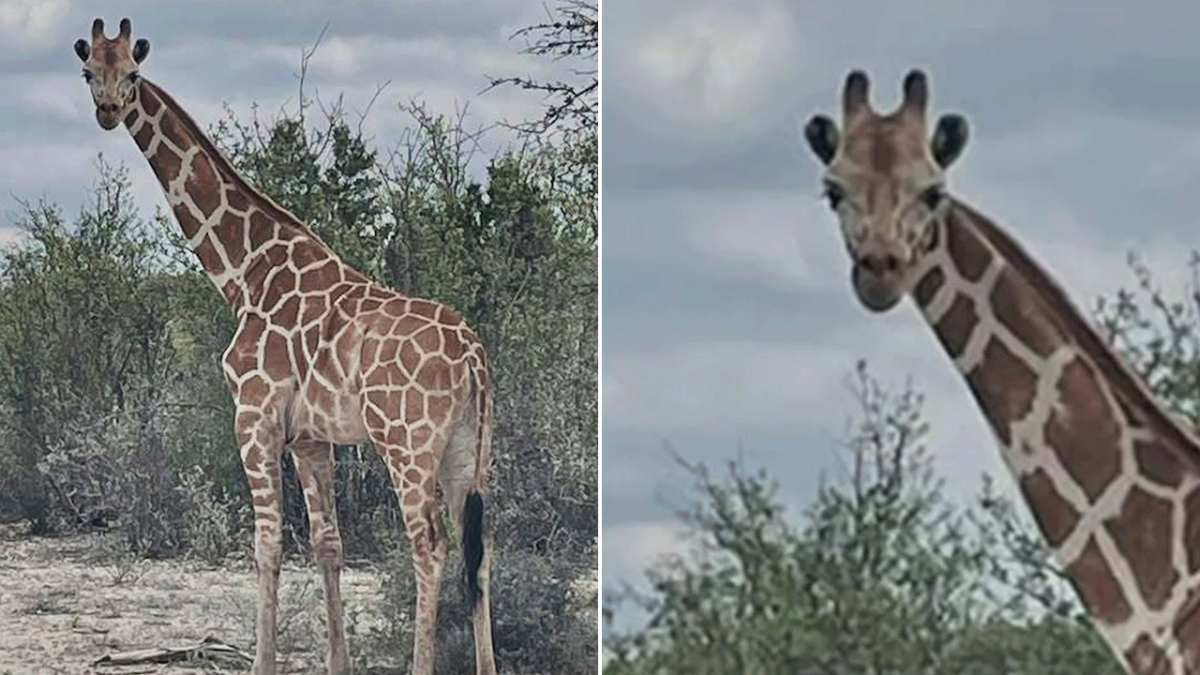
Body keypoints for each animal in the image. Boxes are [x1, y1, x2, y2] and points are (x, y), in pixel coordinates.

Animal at [73, 18, 497, 675]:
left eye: (134, 74)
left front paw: (262, 661)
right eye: (89, 69)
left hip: (407, 443)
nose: (108, 110)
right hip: (467, 450)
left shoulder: (254, 416)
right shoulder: (311, 437)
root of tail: (474, 357)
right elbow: (328, 545)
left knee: (430, 544)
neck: (244, 272)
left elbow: (267, 544)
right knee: (481, 549)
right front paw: (338, 663)